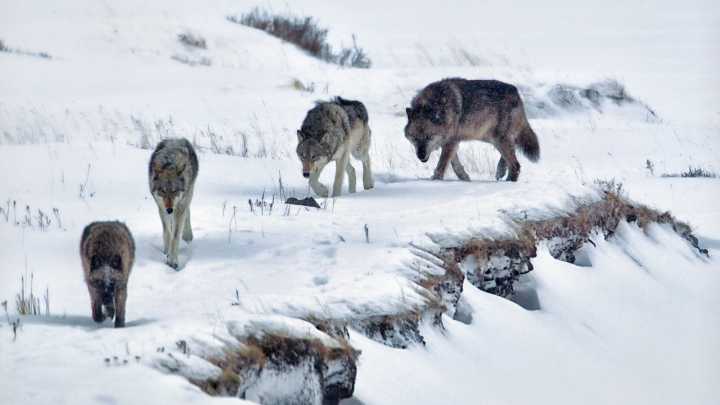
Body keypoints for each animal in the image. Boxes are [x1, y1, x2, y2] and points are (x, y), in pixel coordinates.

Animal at [148, 138, 199, 269]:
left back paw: (188, 236)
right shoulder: (161, 207)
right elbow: (168, 233)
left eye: (174, 191)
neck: (170, 162)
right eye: (163, 191)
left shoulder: (180, 207)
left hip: (188, 196)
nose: (169, 209)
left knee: (187, 213)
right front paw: (167, 253)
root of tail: (175, 138)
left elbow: (175, 236)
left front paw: (173, 261)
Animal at [405, 78, 539, 182]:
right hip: (491, 138)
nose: (421, 155)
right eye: (415, 138)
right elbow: (456, 165)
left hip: (498, 139)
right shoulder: (452, 142)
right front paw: (465, 178)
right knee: (512, 152)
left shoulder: (450, 142)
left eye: (429, 137)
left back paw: (507, 182)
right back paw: (501, 171)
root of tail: (516, 92)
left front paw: (434, 181)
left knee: (516, 165)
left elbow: (441, 165)